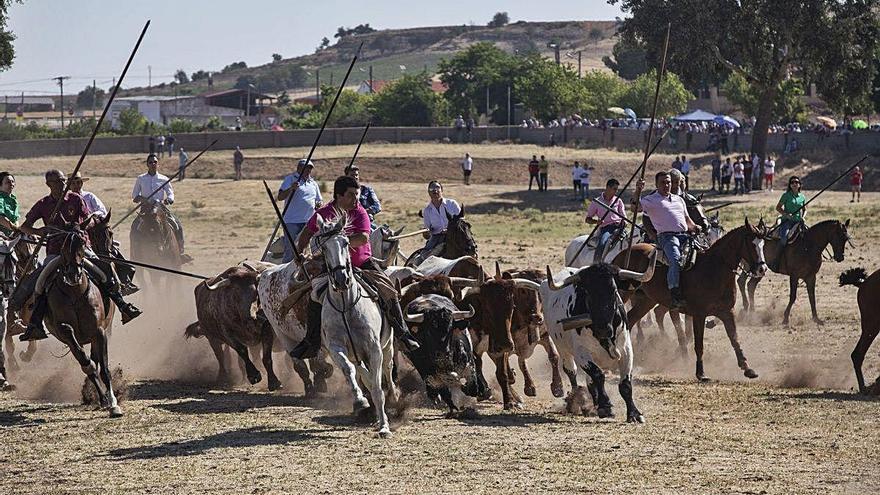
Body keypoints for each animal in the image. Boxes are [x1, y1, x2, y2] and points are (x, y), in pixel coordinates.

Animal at [43, 223, 122, 416]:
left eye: (82, 243)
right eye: (64, 246)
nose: (73, 274)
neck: (75, 293)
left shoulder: (100, 332)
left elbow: (104, 369)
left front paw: (114, 403)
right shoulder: (66, 334)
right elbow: (87, 362)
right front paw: (104, 398)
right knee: (87, 362)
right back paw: (100, 396)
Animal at [184, 264, 280, 392]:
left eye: (256, 292)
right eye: (236, 293)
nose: (250, 316)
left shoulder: (267, 329)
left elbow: (266, 358)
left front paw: (273, 381)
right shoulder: (228, 335)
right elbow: (242, 352)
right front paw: (254, 375)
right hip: (212, 338)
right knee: (220, 357)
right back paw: (223, 378)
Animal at [312, 213, 396, 438]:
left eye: (346, 243)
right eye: (324, 248)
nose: (341, 279)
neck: (346, 306)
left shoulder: (374, 349)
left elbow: (377, 388)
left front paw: (384, 426)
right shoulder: (336, 348)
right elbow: (349, 371)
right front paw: (360, 402)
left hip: (388, 346)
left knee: (387, 368)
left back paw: (393, 394)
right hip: (357, 354)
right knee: (361, 371)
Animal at [612, 219, 768, 382]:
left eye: (763, 243)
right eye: (751, 243)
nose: (762, 269)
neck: (713, 268)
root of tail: (622, 254)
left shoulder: (727, 312)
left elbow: (734, 338)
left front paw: (747, 368)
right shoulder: (699, 315)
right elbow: (698, 344)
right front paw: (701, 373)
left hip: (646, 301)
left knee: (631, 320)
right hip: (624, 293)